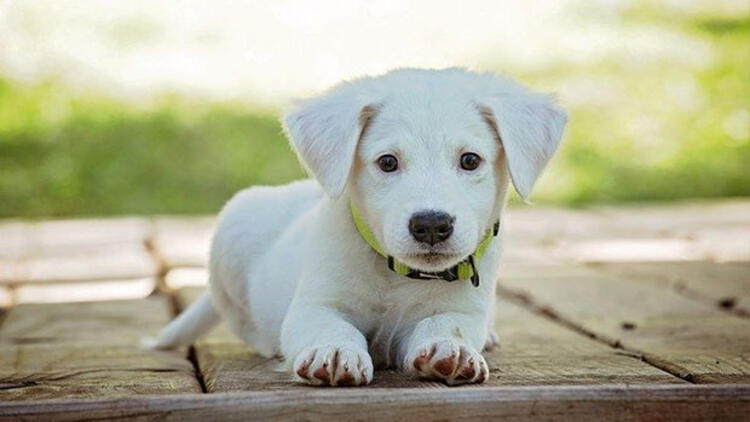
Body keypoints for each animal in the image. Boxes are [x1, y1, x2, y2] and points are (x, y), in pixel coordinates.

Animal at [157, 67, 568, 386]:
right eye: (387, 162)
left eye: (470, 160)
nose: (431, 225)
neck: (396, 273)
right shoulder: (315, 305)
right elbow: (333, 326)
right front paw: (335, 352)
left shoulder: (464, 310)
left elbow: (445, 323)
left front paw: (449, 348)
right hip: (233, 230)